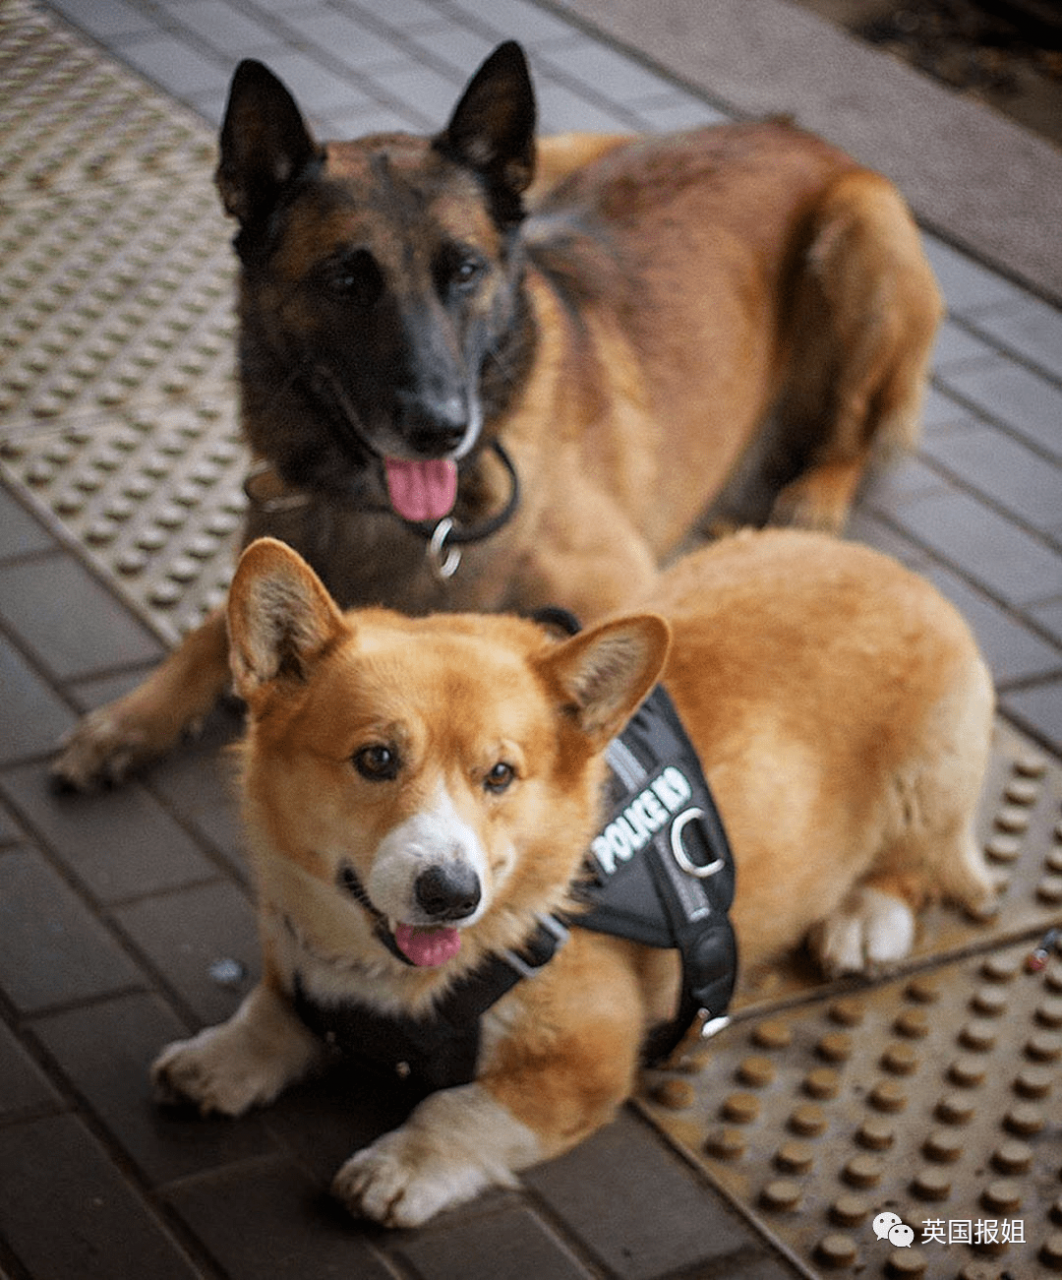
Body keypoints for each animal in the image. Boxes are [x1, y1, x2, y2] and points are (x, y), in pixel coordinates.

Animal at [54, 40, 941, 788]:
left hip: (860, 236)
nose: (442, 428)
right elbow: (211, 629)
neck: (387, 515)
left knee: (854, 425)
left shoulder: (625, 587)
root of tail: (796, 132)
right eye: (345, 280)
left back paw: (813, 496)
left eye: (465, 270)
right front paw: (131, 719)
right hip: (565, 160)